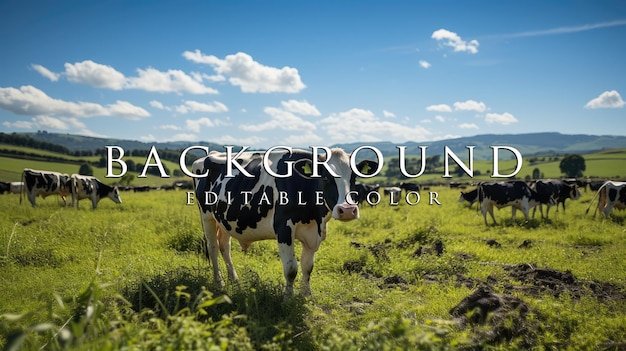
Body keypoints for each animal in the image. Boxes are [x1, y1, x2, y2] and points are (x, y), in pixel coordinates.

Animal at [190, 148, 376, 296]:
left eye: (354, 177)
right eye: (325, 177)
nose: (347, 210)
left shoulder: (315, 232)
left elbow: (308, 266)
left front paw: (306, 296)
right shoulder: (283, 227)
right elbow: (291, 269)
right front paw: (288, 299)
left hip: (224, 219)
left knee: (224, 246)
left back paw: (234, 280)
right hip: (206, 215)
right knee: (213, 247)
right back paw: (219, 283)